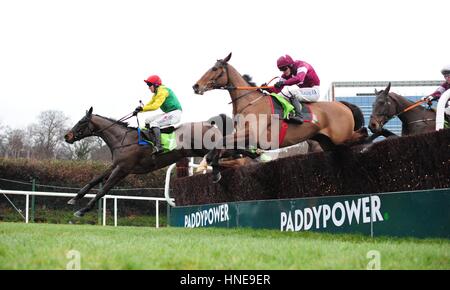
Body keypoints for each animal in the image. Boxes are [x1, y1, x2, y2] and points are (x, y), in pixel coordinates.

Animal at [65, 107, 234, 216]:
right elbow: (94, 180)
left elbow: (103, 189)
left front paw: (83, 210)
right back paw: (217, 174)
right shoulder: (116, 165)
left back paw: (218, 173)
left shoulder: (123, 169)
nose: (67, 136)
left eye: (81, 122)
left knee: (221, 156)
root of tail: (209, 123)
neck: (123, 140)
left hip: (205, 148)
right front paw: (74, 199)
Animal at [192, 52, 368, 181]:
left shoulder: (252, 135)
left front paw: (214, 167)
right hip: (328, 143)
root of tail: (343, 105)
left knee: (362, 134)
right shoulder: (243, 139)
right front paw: (212, 167)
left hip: (340, 136)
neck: (249, 102)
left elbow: (222, 142)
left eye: (215, 69)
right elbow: (222, 147)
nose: (196, 86)